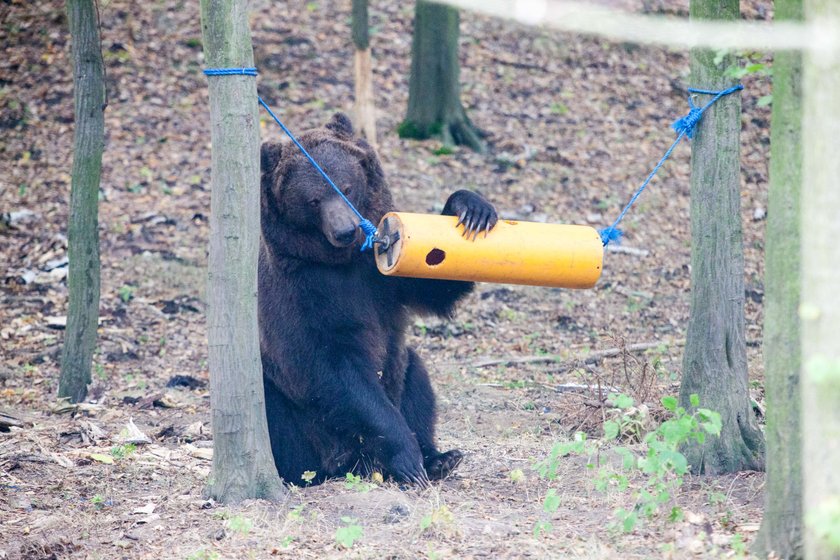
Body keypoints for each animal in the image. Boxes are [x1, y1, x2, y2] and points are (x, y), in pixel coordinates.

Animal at [260, 114, 496, 486]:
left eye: (346, 186)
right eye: (313, 200)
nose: (345, 230)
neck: (343, 260)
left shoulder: (381, 276)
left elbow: (432, 283)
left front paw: (471, 209)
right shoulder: (305, 289)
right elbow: (332, 366)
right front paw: (407, 457)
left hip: (402, 370)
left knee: (416, 375)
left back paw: (441, 457)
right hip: (303, 424)